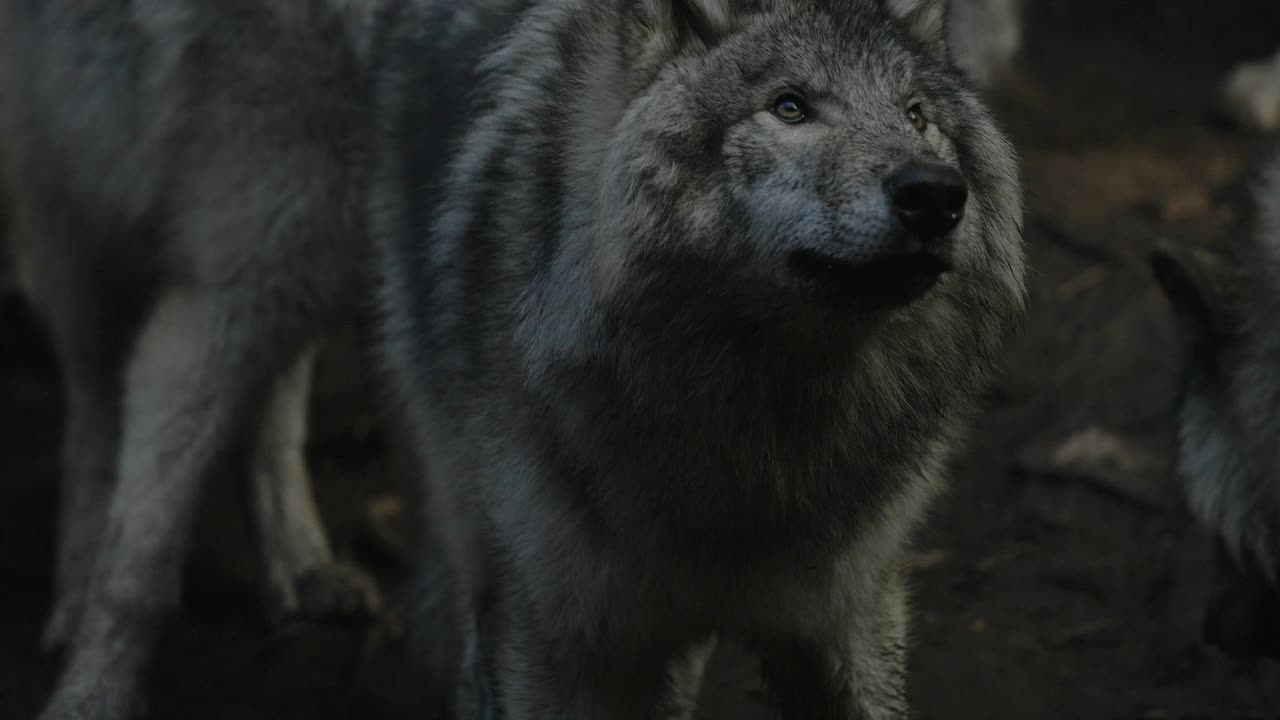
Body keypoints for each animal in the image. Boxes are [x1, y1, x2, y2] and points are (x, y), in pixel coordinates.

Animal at [0, 1, 384, 718]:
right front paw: (93, 696)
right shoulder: (216, 297)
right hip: (80, 225)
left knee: (271, 412)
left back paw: (301, 566)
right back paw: (74, 587)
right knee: (95, 409)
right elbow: (138, 564)